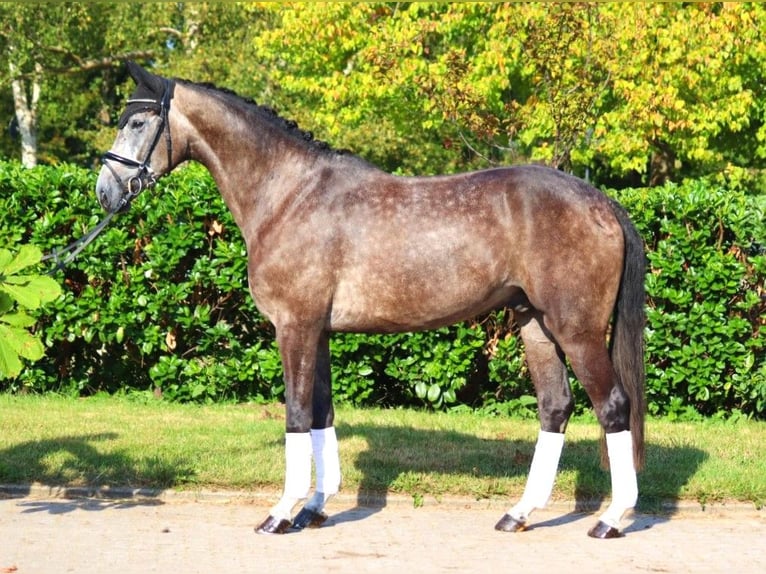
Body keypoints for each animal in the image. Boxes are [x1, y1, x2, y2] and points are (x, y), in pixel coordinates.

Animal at [97, 62, 648, 540]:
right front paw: (315, 509)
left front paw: (281, 513)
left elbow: (297, 413)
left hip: (575, 329)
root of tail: (601, 202)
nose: (105, 192)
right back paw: (519, 513)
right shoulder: (317, 331)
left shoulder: (294, 326)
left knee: (612, 406)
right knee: (555, 407)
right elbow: (322, 413)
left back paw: (611, 519)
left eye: (139, 121)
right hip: (535, 325)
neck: (289, 195)